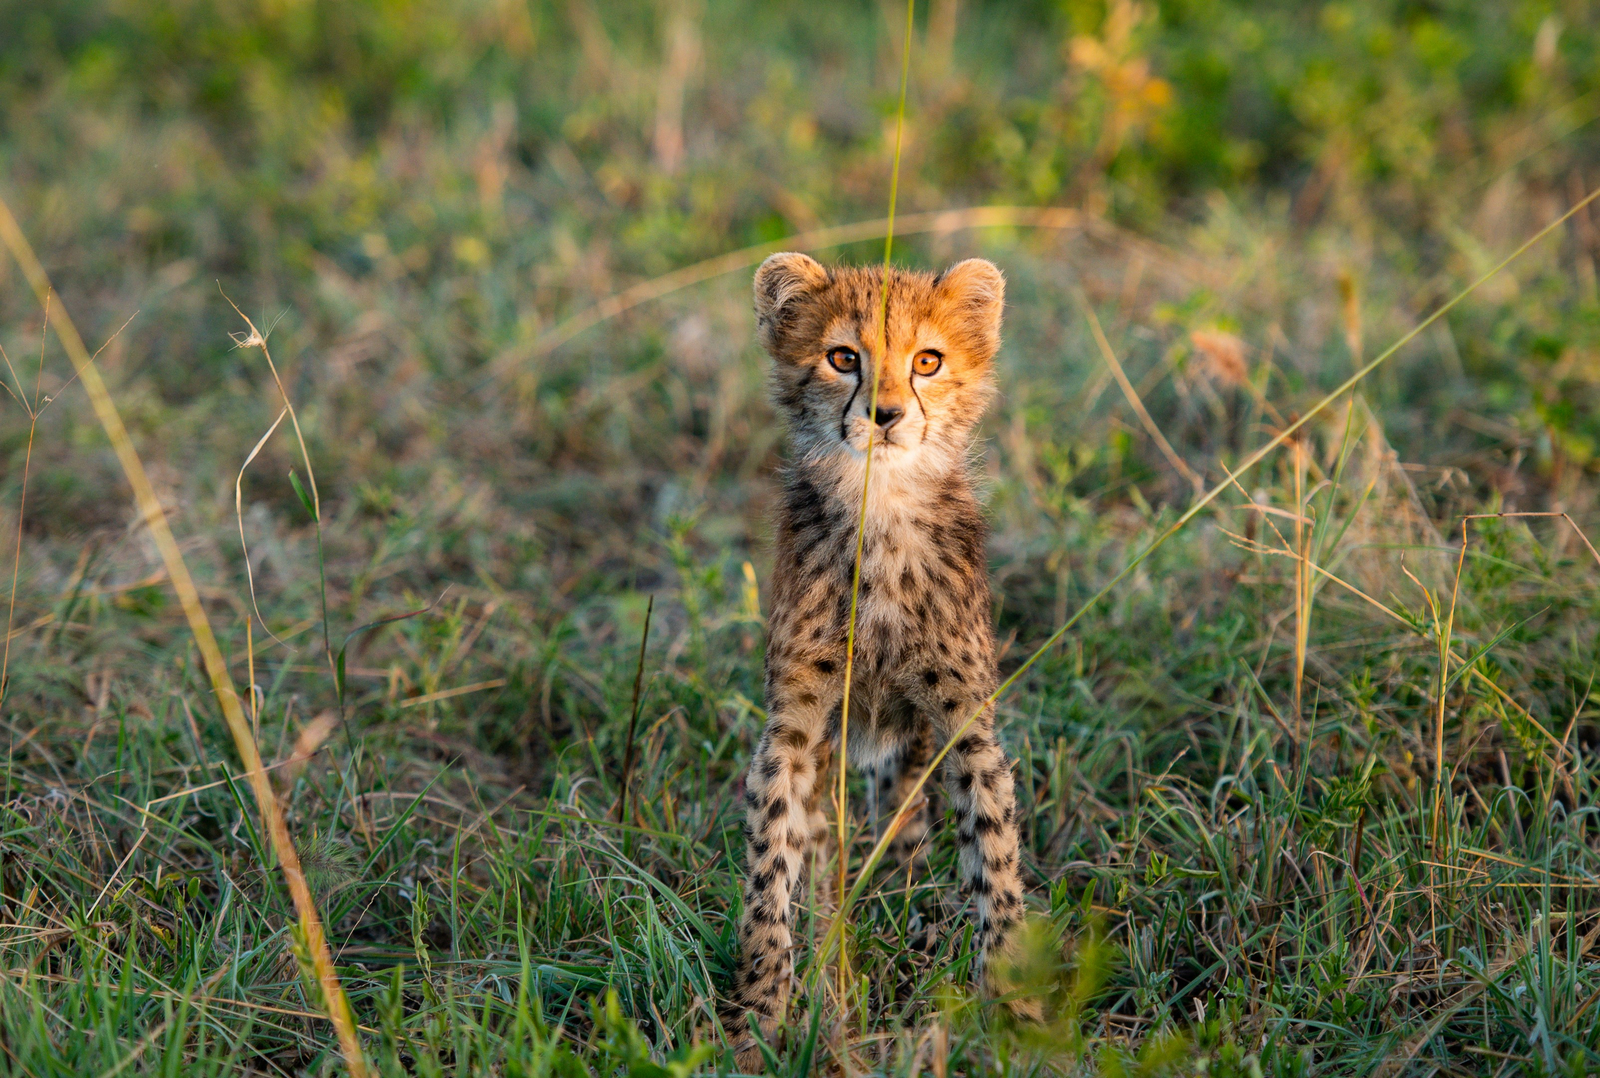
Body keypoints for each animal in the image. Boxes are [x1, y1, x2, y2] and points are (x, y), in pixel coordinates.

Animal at [723, 251, 1034, 1065]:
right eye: (843, 359)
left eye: (927, 361)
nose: (885, 415)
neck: (881, 505)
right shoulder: (795, 727)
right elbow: (770, 866)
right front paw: (757, 1014)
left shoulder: (965, 725)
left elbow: (995, 857)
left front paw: (1015, 1008)